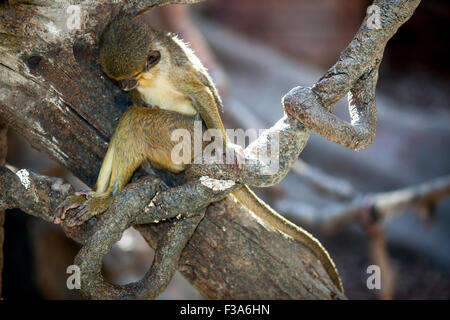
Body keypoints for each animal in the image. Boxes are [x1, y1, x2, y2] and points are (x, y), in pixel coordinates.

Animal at [55, 18, 344, 292]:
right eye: (119, 81)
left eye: (132, 76)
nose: (125, 86)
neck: (153, 74)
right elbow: (140, 103)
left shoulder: (176, 74)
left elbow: (202, 93)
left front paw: (228, 147)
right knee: (130, 117)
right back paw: (96, 195)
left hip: (187, 139)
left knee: (137, 121)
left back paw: (109, 198)